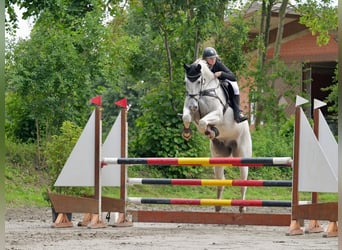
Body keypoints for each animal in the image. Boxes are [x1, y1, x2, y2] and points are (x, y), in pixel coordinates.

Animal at [182, 59, 251, 213]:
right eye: (185, 82)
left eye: (199, 81)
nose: (193, 106)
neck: (203, 92)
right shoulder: (192, 113)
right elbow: (187, 117)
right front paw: (187, 133)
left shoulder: (218, 114)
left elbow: (203, 122)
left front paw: (211, 131)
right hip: (218, 158)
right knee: (221, 181)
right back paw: (218, 206)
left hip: (242, 154)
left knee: (243, 181)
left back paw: (242, 207)